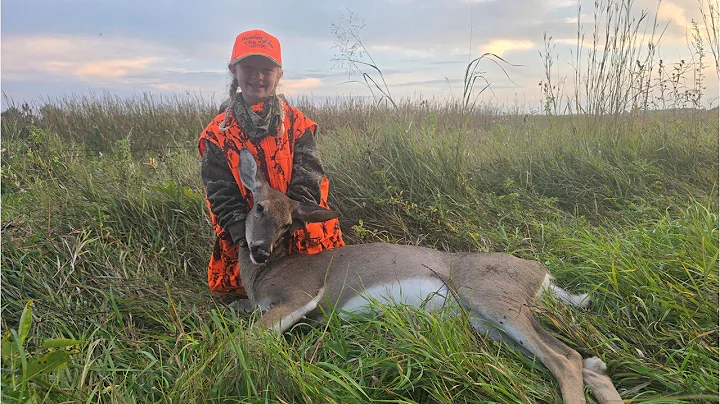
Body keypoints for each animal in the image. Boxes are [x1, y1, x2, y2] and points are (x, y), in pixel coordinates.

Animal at [234, 148, 623, 403]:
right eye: (259, 206)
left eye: (288, 224)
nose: (261, 250)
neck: (264, 276)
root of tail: (542, 274)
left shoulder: (300, 295)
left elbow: (248, 341)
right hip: (487, 320)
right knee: (580, 360)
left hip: (494, 300)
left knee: (564, 359)